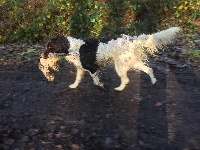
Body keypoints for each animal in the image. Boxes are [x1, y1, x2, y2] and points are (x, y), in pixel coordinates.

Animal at [39, 27, 181, 91]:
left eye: (49, 47)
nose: (42, 56)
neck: (73, 47)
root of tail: (132, 39)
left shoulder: (93, 68)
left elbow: (96, 81)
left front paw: (102, 86)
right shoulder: (80, 68)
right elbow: (77, 79)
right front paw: (74, 86)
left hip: (120, 65)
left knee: (126, 79)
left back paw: (119, 88)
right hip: (131, 62)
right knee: (149, 69)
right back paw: (153, 81)